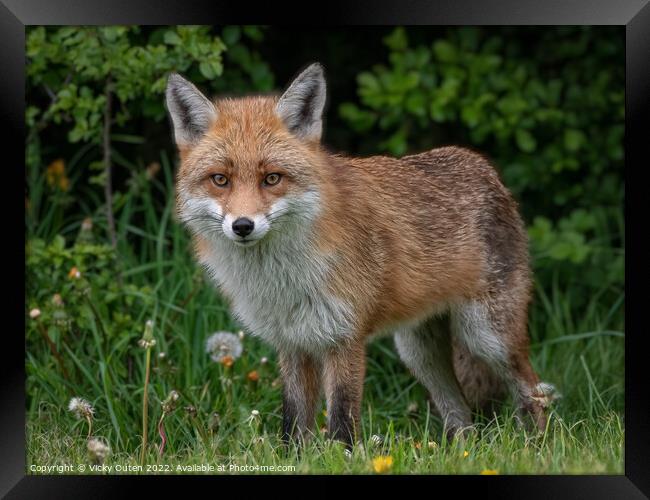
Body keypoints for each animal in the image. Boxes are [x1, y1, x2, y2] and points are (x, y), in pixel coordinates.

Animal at [165, 60, 556, 448]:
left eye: (272, 178)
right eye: (220, 180)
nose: (243, 226)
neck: (282, 279)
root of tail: (485, 168)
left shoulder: (344, 336)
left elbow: (341, 417)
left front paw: (342, 455)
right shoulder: (291, 342)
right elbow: (293, 422)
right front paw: (295, 456)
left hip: (487, 337)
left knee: (531, 390)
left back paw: (537, 446)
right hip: (419, 353)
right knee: (460, 413)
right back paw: (462, 452)